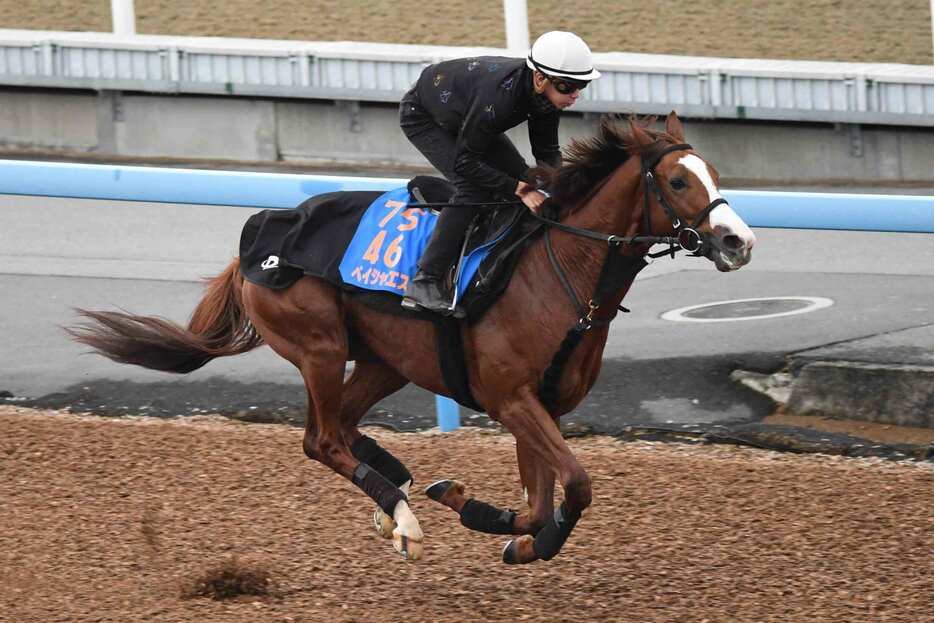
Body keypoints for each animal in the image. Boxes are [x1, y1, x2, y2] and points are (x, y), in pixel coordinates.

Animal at [73, 112, 760, 564]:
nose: (739, 241)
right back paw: (401, 515)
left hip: (385, 362)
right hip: (319, 346)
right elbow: (577, 486)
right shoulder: (511, 399)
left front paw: (498, 523)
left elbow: (542, 500)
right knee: (322, 439)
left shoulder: (543, 406)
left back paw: (399, 489)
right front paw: (509, 530)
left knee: (345, 427)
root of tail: (259, 237)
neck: (563, 274)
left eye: (714, 171)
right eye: (678, 182)